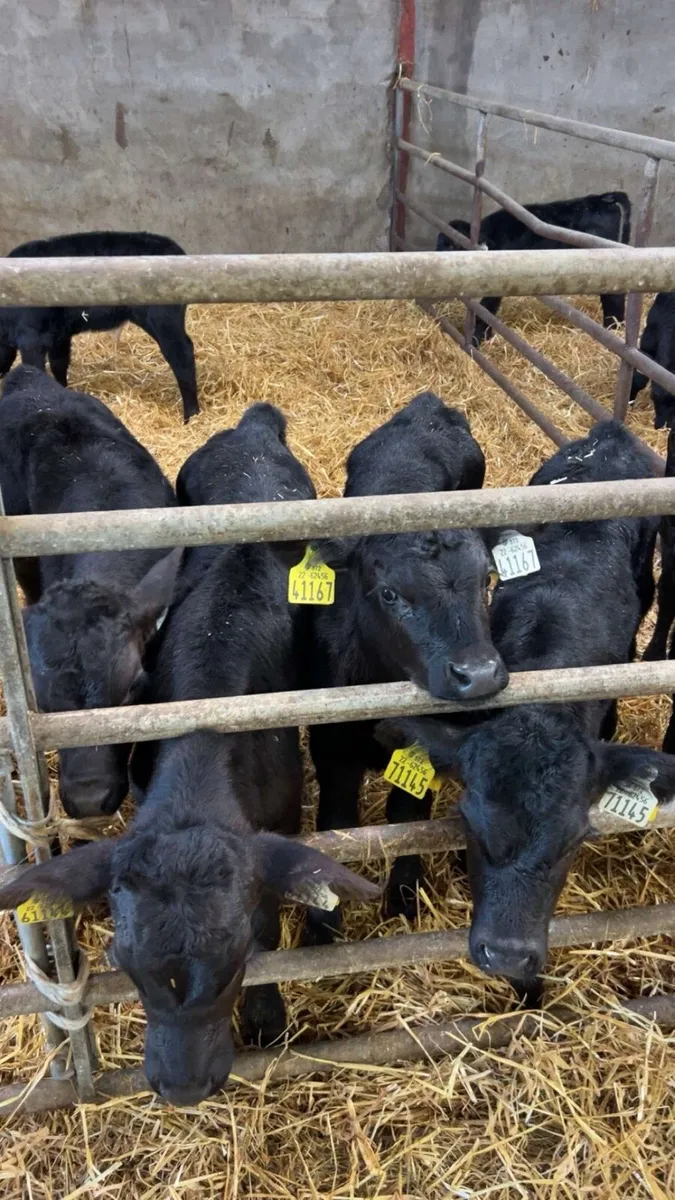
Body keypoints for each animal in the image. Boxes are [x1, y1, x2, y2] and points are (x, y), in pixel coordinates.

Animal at [0, 231, 198, 421]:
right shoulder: (59, 335)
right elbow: (59, 364)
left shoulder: (31, 337)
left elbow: (34, 368)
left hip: (162, 318)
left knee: (181, 353)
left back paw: (191, 414)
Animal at [305, 392, 509, 940]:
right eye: (391, 593)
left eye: (487, 579)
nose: (479, 674)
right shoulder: (332, 754)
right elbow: (335, 827)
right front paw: (324, 928)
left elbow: (410, 820)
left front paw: (402, 897)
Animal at [437, 192, 632, 345]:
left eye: (454, 246)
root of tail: (604, 197)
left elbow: (486, 310)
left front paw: (478, 340)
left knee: (613, 300)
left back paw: (613, 330)